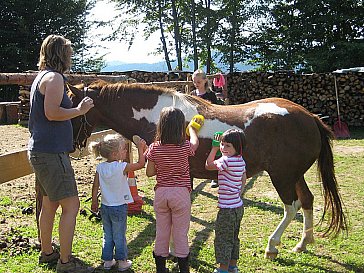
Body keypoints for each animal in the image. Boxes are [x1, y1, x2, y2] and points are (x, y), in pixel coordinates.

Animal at [67, 80, 346, 258]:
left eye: (72, 108)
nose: (70, 146)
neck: (161, 117)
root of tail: (310, 117)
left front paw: (171, 250)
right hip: (294, 175)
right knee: (307, 200)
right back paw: (303, 243)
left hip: (282, 176)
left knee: (291, 207)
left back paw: (272, 246)